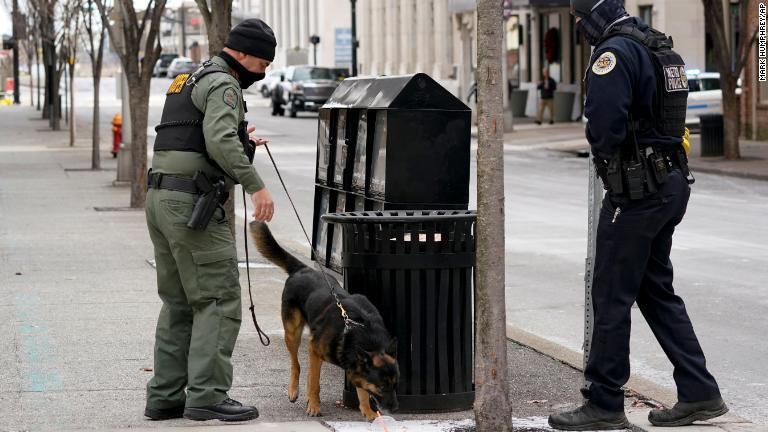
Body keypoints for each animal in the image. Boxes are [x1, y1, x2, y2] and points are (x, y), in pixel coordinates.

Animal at [249, 221, 400, 420]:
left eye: (395, 384)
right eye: (382, 386)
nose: (395, 409)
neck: (358, 330)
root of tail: (303, 269)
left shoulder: (355, 367)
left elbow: (362, 390)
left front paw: (368, 411)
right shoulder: (314, 350)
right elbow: (314, 382)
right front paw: (314, 406)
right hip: (293, 334)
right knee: (296, 365)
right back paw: (294, 390)